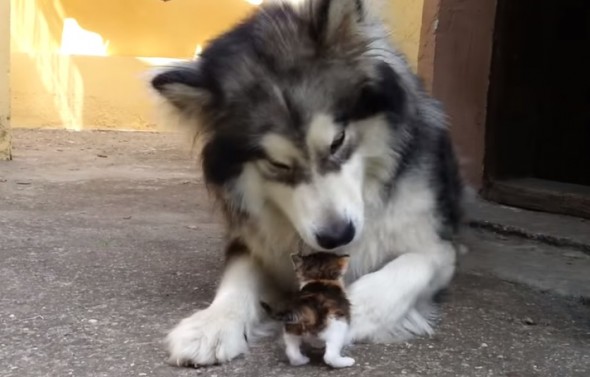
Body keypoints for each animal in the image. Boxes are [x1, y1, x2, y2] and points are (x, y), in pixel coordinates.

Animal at [150, 0, 464, 366]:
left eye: (337, 141)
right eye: (277, 164)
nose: (337, 235)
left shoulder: (439, 248)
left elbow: (412, 265)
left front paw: (352, 310)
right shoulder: (254, 241)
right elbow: (237, 278)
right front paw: (212, 325)